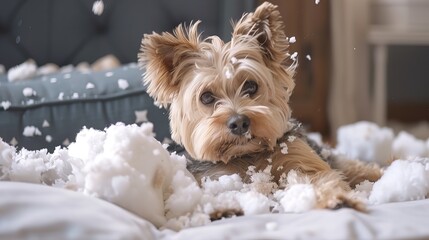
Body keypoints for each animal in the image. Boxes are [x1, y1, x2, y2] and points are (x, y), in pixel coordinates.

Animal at [139, 2, 380, 212]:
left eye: (251, 86)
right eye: (206, 97)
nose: (239, 123)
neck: (246, 155)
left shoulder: (299, 158)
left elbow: (320, 178)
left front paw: (337, 198)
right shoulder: (214, 177)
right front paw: (221, 208)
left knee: (354, 167)